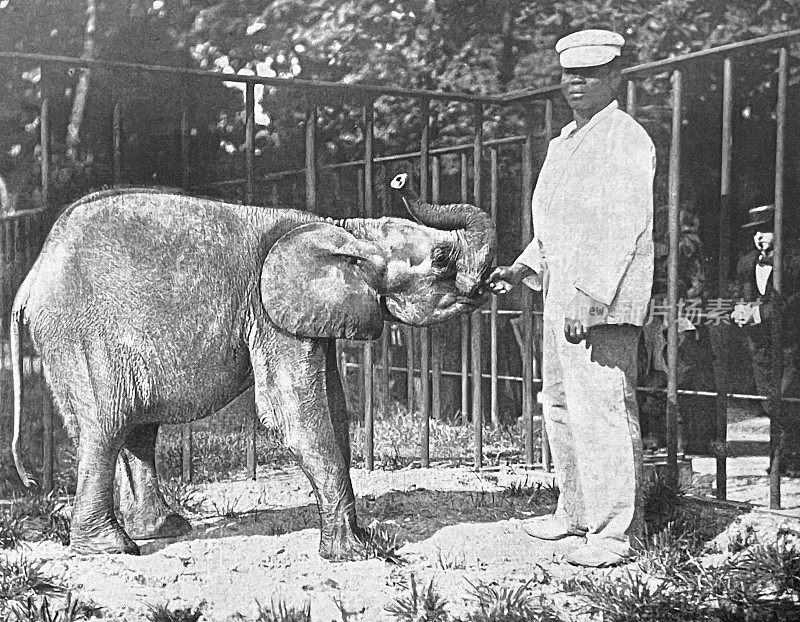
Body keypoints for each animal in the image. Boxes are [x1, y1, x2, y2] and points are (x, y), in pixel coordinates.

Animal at [4, 171, 494, 560]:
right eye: (441, 260)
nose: (400, 178)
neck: (343, 229)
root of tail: (30, 278)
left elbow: (332, 408)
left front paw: (363, 540)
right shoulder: (269, 310)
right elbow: (290, 412)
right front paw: (355, 555)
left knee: (137, 428)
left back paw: (162, 529)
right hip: (82, 339)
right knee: (106, 427)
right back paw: (114, 548)